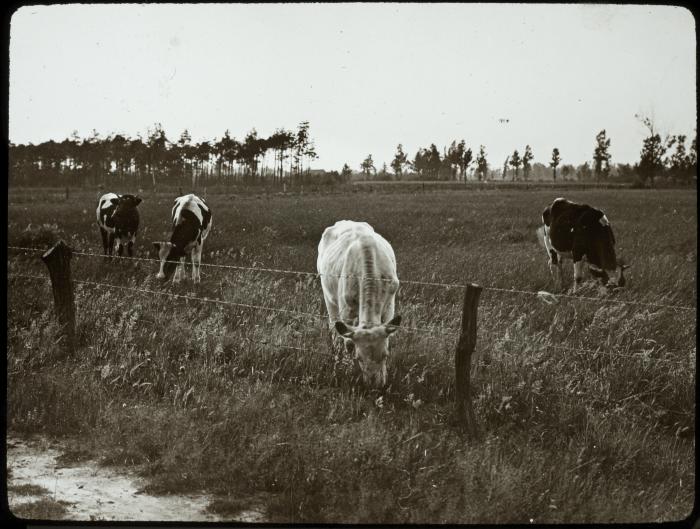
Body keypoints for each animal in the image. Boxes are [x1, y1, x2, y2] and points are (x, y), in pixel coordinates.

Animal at [316, 219, 400, 388]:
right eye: (359, 357)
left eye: (385, 355)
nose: (375, 385)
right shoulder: (346, 310)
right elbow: (348, 342)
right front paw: (347, 369)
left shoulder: (390, 305)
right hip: (329, 297)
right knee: (334, 329)